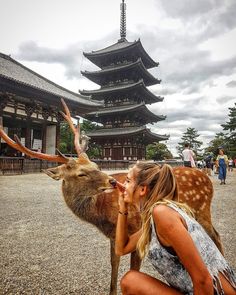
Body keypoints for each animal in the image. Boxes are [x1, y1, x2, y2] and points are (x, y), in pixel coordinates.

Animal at [0, 100, 223, 295]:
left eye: (96, 165)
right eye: (81, 173)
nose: (112, 181)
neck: (102, 216)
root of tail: (207, 178)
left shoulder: (136, 229)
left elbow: (133, 269)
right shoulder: (114, 236)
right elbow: (113, 263)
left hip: (202, 209)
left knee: (216, 235)